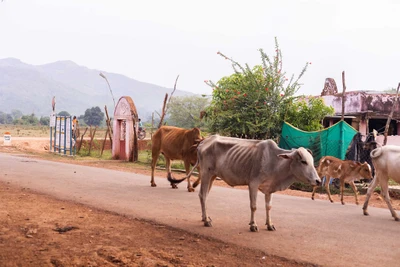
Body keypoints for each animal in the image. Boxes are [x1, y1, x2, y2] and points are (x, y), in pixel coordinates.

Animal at [170, 136, 320, 232]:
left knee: (204, 195)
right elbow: (253, 206)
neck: (274, 161)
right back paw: (206, 221)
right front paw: (253, 225)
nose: (318, 181)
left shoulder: (269, 188)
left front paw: (269, 224)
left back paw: (204, 218)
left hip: (212, 176)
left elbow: (269, 207)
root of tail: (204, 141)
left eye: (312, 161)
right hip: (206, 173)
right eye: (303, 161)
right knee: (203, 195)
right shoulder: (253, 184)